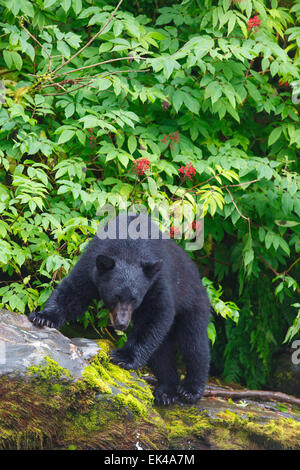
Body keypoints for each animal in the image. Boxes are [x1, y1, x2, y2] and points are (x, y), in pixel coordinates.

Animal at [29, 213, 210, 404]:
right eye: (115, 296)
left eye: (134, 299)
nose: (122, 324)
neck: (129, 247)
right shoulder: (92, 264)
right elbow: (73, 291)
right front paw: (44, 317)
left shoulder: (156, 281)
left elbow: (155, 314)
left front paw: (124, 357)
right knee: (162, 351)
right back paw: (167, 391)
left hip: (193, 302)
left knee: (194, 342)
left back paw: (190, 390)